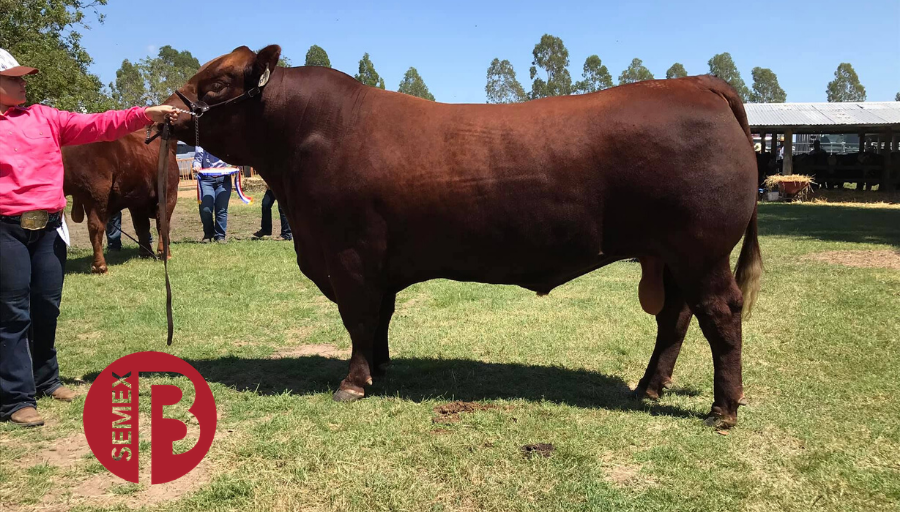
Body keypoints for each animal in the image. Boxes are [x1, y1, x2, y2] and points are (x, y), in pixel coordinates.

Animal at [63, 131, 178, 274]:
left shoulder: (137, 203)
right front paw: (164, 253)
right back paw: (100, 266)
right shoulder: (169, 195)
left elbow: (141, 227)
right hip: (97, 195)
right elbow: (163, 224)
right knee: (96, 226)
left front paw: (145, 253)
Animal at [164, 45, 762, 428]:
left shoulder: (350, 256)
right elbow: (379, 318)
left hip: (702, 251)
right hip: (670, 257)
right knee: (675, 318)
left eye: (217, 84)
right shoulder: (377, 263)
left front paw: (353, 383)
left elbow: (358, 319)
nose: (166, 113)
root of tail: (698, 83)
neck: (306, 135)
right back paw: (649, 387)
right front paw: (381, 368)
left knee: (720, 314)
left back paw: (723, 411)